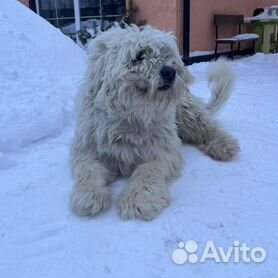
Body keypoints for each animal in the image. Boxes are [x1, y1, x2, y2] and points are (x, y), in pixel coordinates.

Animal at [69, 25, 239, 222]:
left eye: (166, 54)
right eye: (138, 56)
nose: (170, 71)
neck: (131, 116)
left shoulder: (162, 150)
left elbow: (147, 170)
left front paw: (138, 199)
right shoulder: (87, 148)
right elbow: (89, 169)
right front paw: (88, 195)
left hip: (186, 112)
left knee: (207, 128)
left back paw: (224, 146)